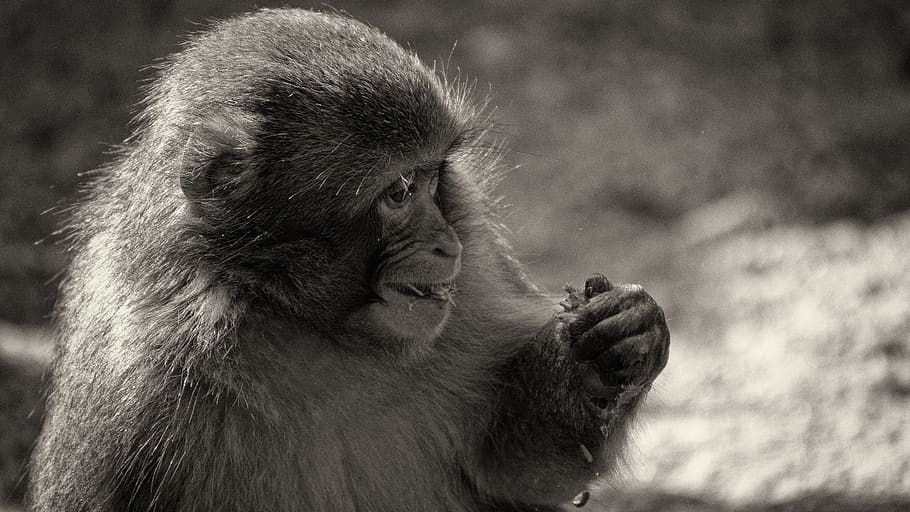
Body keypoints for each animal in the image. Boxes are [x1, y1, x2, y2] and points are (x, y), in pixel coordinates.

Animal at [29, 9, 669, 512]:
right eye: (398, 192)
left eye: (433, 177)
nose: (448, 245)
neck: (311, 328)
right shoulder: (141, 388)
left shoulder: (478, 279)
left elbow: (518, 470)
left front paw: (612, 349)